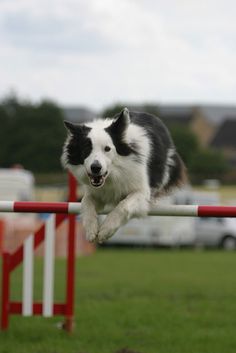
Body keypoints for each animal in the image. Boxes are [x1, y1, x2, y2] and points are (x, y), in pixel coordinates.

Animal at [61, 108, 187, 242]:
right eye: (86, 149)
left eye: (107, 149)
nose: (95, 168)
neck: (114, 175)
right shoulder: (96, 192)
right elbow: (86, 202)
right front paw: (91, 229)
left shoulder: (141, 191)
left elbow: (123, 206)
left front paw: (106, 230)